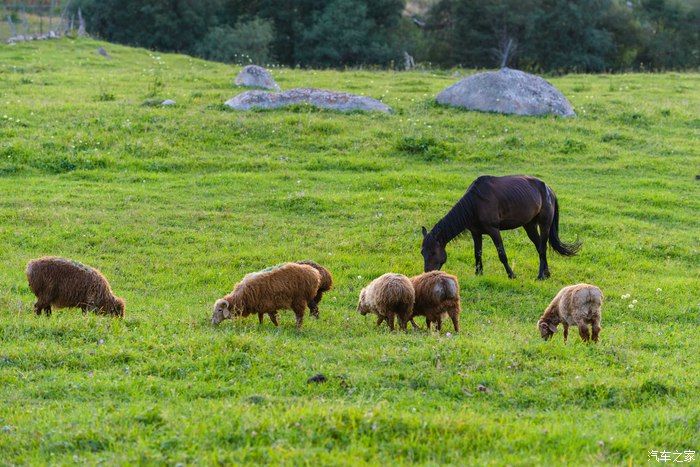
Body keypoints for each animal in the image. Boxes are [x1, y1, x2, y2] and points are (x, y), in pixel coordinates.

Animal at [422, 175, 580, 278]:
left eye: (433, 253)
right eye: (423, 253)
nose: (427, 273)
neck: (475, 204)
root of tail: (549, 190)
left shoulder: (494, 231)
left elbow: (502, 254)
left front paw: (511, 275)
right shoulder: (476, 233)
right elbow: (477, 253)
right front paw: (478, 273)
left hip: (544, 223)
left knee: (542, 248)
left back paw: (541, 275)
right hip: (529, 225)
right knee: (540, 246)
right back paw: (546, 273)